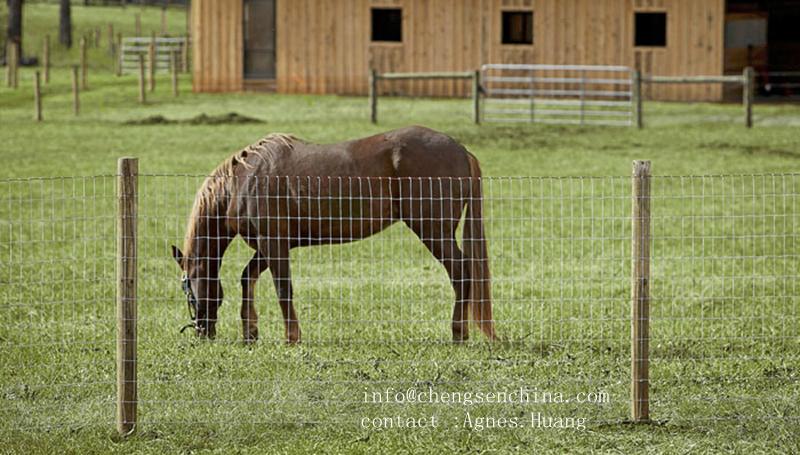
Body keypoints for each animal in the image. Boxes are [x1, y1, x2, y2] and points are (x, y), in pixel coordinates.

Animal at [170, 126, 494, 344]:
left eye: (187, 286)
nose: (202, 331)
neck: (243, 181)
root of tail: (461, 150)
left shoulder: (274, 244)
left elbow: (283, 289)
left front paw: (292, 337)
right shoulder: (268, 245)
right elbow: (247, 278)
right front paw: (250, 333)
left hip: (433, 230)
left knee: (461, 273)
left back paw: (458, 333)